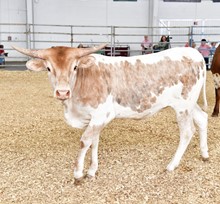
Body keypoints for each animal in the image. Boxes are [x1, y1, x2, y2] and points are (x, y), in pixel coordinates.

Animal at [12, 44, 209, 183]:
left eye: (74, 67)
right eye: (48, 68)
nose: (62, 92)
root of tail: (194, 53)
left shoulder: (102, 114)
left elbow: (85, 141)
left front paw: (78, 174)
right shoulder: (94, 119)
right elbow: (94, 142)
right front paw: (92, 170)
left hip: (183, 106)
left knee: (187, 132)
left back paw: (171, 165)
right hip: (190, 104)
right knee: (202, 119)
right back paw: (204, 154)